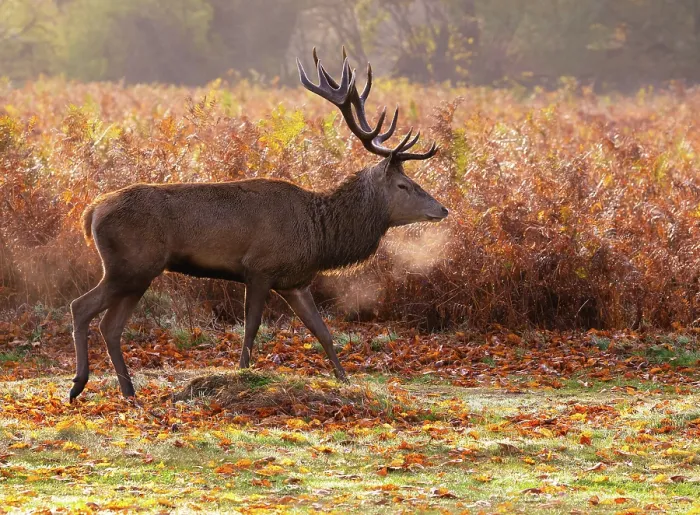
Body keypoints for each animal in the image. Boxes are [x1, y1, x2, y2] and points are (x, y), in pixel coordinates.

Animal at [68, 48, 448, 401]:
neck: (319, 235)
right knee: (81, 307)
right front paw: (242, 375)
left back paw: (128, 391)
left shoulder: (295, 281)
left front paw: (345, 381)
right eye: (403, 185)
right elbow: (251, 328)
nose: (442, 209)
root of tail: (91, 213)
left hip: (139, 273)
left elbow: (322, 332)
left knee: (110, 326)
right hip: (129, 265)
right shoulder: (259, 268)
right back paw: (78, 385)